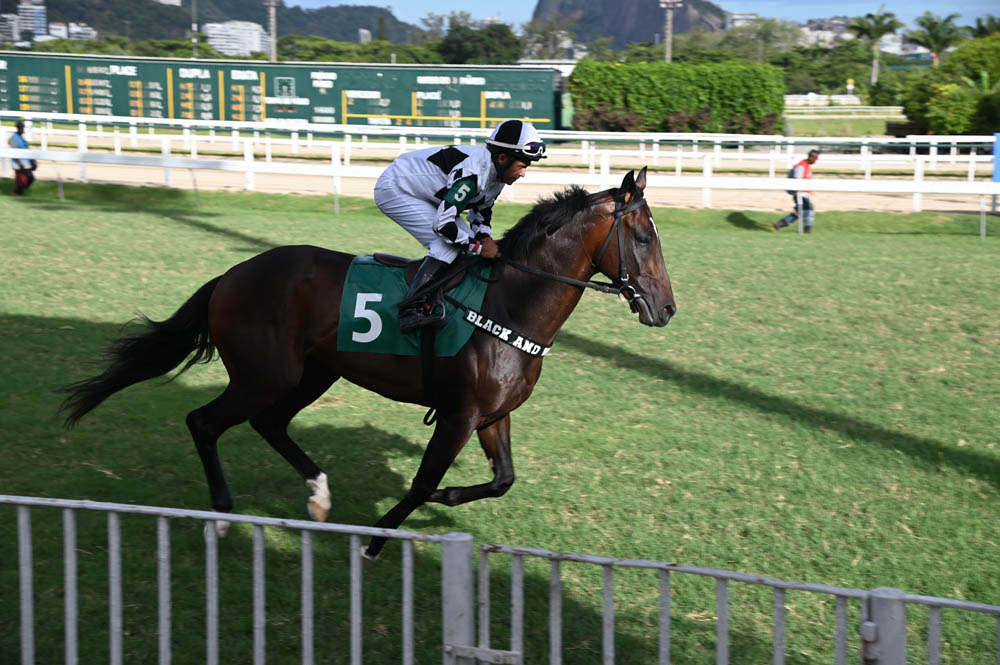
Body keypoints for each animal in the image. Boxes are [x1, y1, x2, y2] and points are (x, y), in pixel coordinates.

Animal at [60, 167, 676, 559]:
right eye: (645, 237)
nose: (666, 308)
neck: (508, 305)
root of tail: (232, 274)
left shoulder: (493, 414)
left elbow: (502, 480)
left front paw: (448, 500)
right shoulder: (458, 414)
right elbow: (422, 483)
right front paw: (378, 541)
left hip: (314, 371)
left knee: (268, 423)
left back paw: (318, 495)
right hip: (266, 374)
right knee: (204, 422)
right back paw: (222, 517)